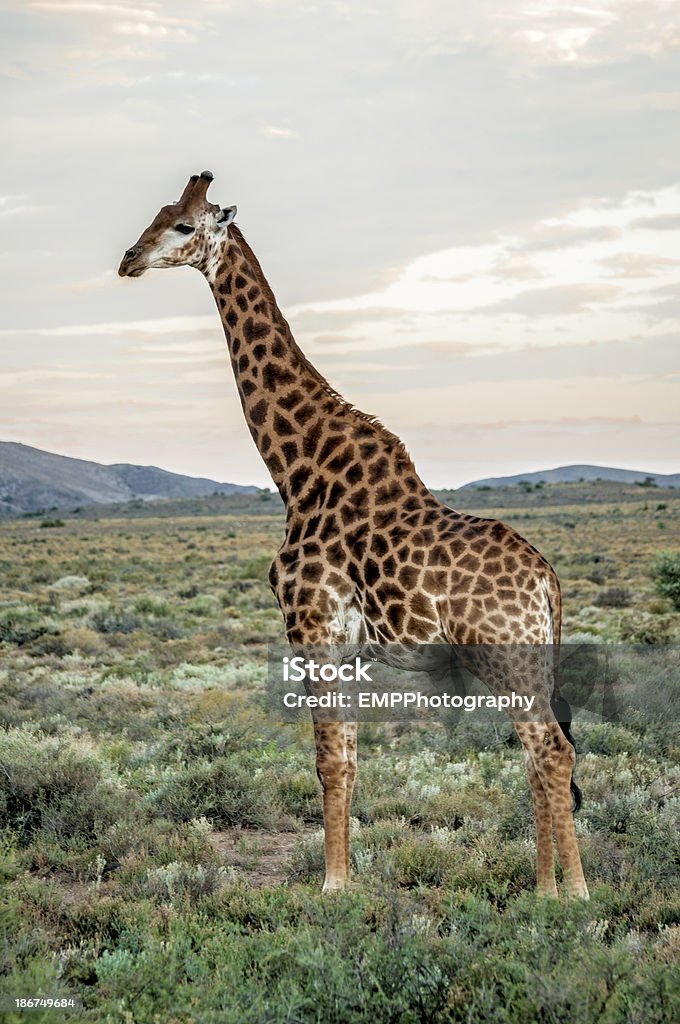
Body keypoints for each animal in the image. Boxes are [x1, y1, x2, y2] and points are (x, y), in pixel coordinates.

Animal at [120, 172, 589, 901]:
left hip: (505, 654)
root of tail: (548, 579)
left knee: (550, 750)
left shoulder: (311, 627)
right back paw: (544, 888)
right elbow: (348, 755)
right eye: (158, 213)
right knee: (540, 754)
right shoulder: (345, 647)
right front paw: (344, 880)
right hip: (531, 657)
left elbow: (329, 759)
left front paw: (333, 887)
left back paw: (572, 895)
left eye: (183, 226)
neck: (297, 470)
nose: (128, 260)